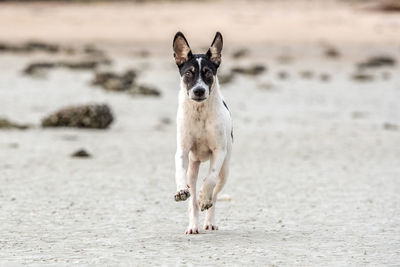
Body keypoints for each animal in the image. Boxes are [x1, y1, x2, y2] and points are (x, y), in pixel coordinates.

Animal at [171, 32, 233, 236]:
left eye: (208, 73)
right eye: (188, 73)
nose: (199, 91)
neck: (200, 112)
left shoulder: (219, 151)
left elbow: (210, 178)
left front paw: (205, 197)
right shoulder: (182, 151)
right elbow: (179, 172)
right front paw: (181, 190)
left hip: (225, 169)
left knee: (215, 193)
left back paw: (209, 219)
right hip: (193, 166)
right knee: (192, 202)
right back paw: (193, 225)